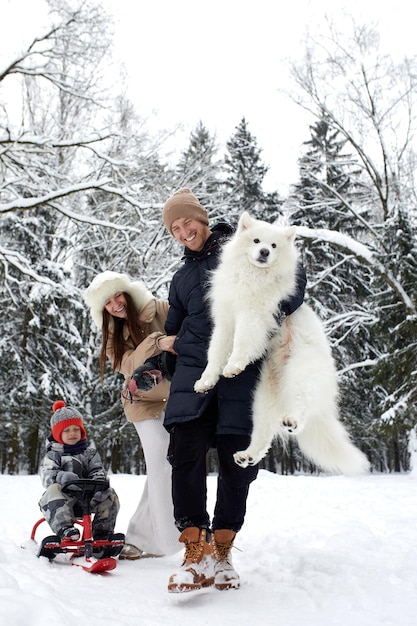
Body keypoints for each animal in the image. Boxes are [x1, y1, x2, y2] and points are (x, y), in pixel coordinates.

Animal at [193, 212, 368, 476]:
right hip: (261, 401)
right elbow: (215, 354)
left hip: (302, 373)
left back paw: (292, 420)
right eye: (256, 241)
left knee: (302, 407)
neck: (252, 274)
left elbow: (241, 343)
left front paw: (233, 366)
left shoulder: (252, 315)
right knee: (263, 436)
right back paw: (247, 456)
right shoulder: (225, 321)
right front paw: (206, 381)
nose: (264, 252)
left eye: (274, 245)